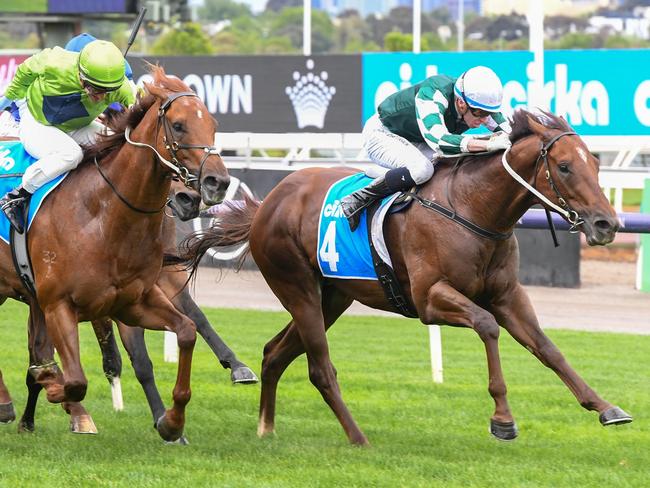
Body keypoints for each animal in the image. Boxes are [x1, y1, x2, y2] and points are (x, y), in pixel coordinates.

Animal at [0, 66, 230, 442]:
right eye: (178, 125)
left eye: (213, 123)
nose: (217, 182)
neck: (103, 214)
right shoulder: (59, 304)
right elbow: (75, 380)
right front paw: (52, 385)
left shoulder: (131, 302)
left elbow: (185, 330)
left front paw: (172, 422)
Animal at [182, 110, 632, 446]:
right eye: (565, 166)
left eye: (595, 163)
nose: (606, 224)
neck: (472, 208)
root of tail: (268, 204)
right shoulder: (430, 298)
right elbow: (487, 326)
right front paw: (503, 419)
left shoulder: (507, 295)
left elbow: (548, 348)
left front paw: (606, 407)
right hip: (297, 288)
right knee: (320, 368)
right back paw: (358, 437)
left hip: (332, 297)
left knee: (275, 352)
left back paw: (266, 428)